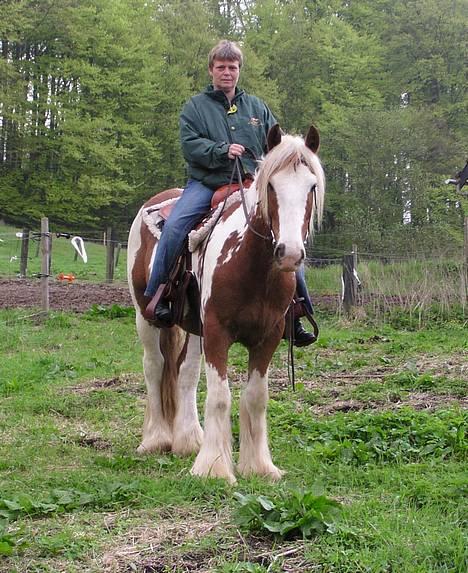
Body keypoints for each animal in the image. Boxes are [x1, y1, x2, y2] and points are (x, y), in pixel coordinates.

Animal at [128, 125, 326, 482]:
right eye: (271, 185)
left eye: (312, 186)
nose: (289, 253)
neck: (252, 267)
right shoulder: (218, 332)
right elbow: (220, 397)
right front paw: (214, 468)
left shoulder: (268, 336)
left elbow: (256, 397)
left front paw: (259, 466)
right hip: (145, 316)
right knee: (155, 366)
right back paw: (156, 439)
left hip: (194, 328)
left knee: (184, 372)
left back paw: (189, 440)